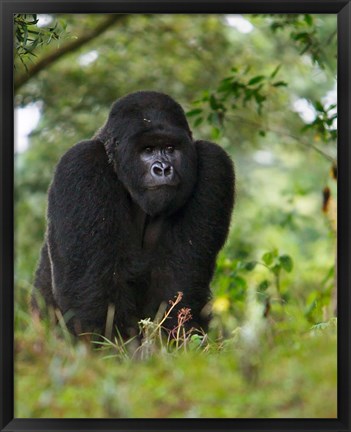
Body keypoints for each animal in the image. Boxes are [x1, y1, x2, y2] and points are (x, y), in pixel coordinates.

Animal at [32, 91, 236, 340]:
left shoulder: (215, 163)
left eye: (170, 148)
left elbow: (179, 281)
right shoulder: (80, 164)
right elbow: (89, 290)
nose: (162, 169)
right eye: (147, 150)